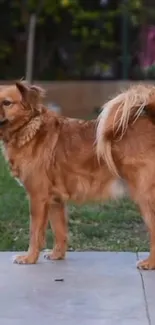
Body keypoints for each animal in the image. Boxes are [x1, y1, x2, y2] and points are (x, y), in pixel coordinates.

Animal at [0, 81, 155, 268]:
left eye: (7, 103)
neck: (29, 128)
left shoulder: (38, 198)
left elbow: (35, 233)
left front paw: (29, 258)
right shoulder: (55, 201)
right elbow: (60, 231)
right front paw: (57, 255)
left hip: (144, 197)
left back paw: (150, 263)